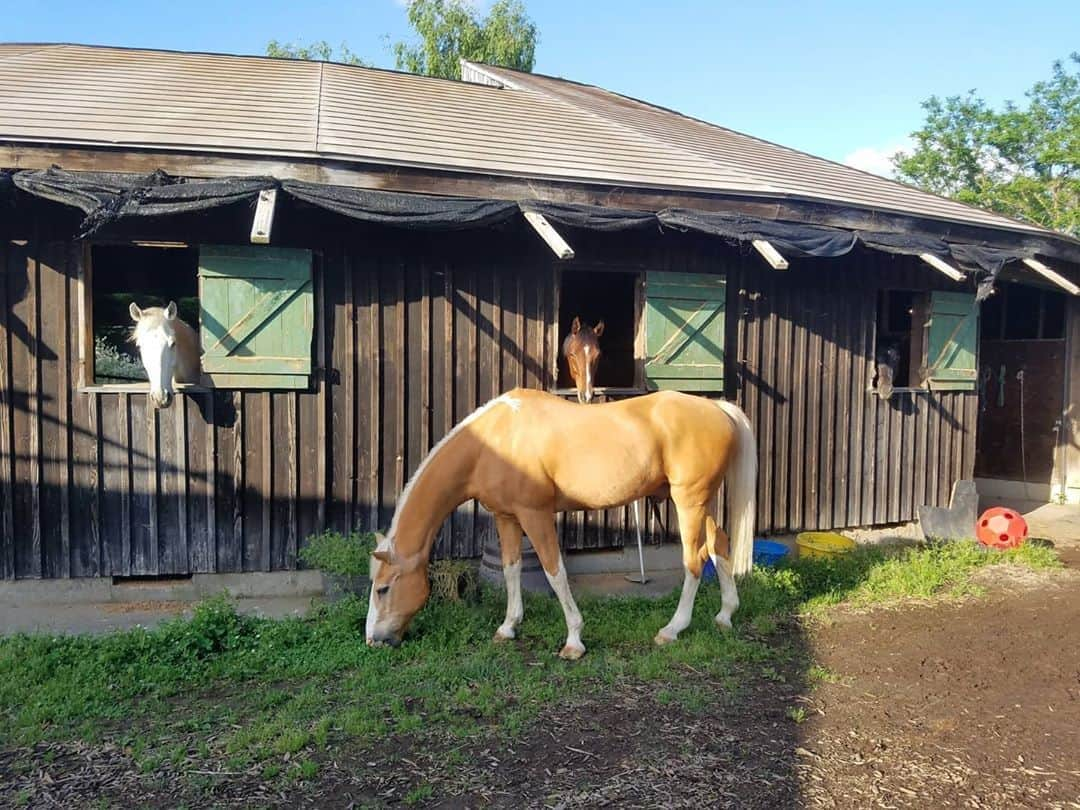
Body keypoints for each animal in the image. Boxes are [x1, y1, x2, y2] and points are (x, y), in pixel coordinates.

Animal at [367, 390, 756, 660]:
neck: (493, 442)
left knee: (694, 560)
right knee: (719, 544)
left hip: (687, 501)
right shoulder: (506, 517)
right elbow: (510, 569)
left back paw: (672, 630)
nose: (373, 639)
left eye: (383, 588)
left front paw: (573, 641)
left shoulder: (535, 514)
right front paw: (508, 627)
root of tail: (717, 408)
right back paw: (725, 616)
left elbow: (555, 572)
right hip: (701, 503)